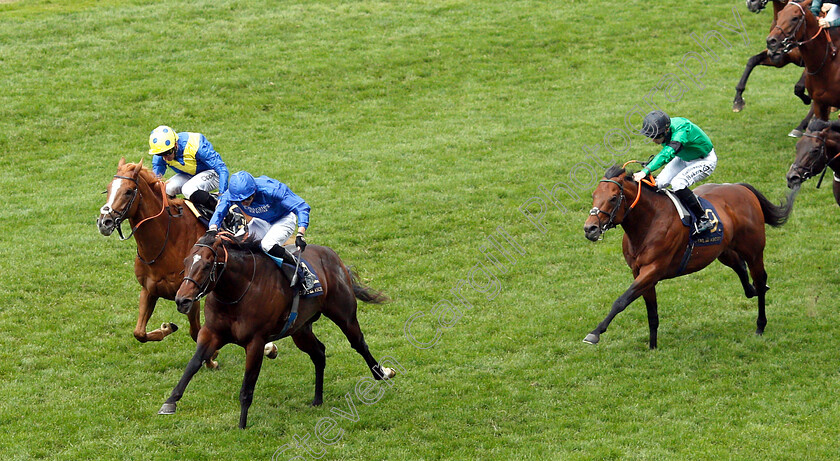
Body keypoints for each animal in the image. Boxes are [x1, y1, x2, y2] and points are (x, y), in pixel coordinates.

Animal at [158, 230, 398, 428]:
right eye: (186, 261)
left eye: (207, 265)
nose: (182, 300)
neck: (236, 293)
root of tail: (332, 255)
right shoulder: (211, 333)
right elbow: (193, 364)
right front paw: (170, 402)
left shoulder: (255, 342)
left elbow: (247, 386)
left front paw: (242, 425)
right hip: (300, 330)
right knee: (319, 353)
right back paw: (317, 399)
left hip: (344, 314)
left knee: (358, 343)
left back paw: (382, 373)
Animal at [584, 165, 796, 348]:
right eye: (594, 195)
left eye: (613, 198)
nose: (590, 229)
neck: (649, 222)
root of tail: (741, 188)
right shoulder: (640, 273)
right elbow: (651, 312)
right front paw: (653, 347)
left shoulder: (653, 270)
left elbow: (621, 300)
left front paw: (594, 333)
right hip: (723, 251)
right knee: (741, 268)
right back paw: (751, 291)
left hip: (754, 250)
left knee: (760, 279)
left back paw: (760, 325)